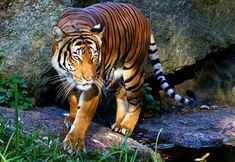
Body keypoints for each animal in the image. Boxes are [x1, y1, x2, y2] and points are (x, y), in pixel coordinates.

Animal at [51, 1, 196, 153]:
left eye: (94, 56)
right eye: (76, 57)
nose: (90, 78)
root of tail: (143, 15)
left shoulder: (93, 87)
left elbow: (83, 116)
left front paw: (75, 143)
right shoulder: (63, 77)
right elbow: (72, 99)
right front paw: (72, 117)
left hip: (133, 71)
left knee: (137, 103)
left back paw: (126, 127)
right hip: (111, 76)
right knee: (121, 92)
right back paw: (119, 123)